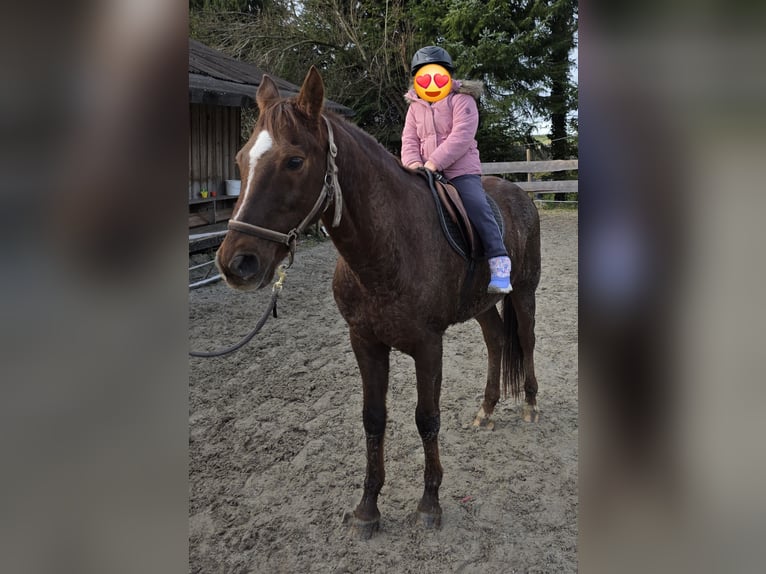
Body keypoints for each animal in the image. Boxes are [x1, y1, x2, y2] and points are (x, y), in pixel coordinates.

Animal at [215, 66, 541, 539]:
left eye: (294, 161)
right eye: (241, 160)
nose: (236, 262)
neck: (389, 247)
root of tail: (520, 194)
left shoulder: (428, 345)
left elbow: (427, 418)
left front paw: (429, 504)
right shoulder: (365, 342)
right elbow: (373, 418)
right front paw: (367, 508)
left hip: (526, 291)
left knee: (526, 341)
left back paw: (531, 406)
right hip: (483, 305)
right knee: (497, 341)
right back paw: (486, 410)